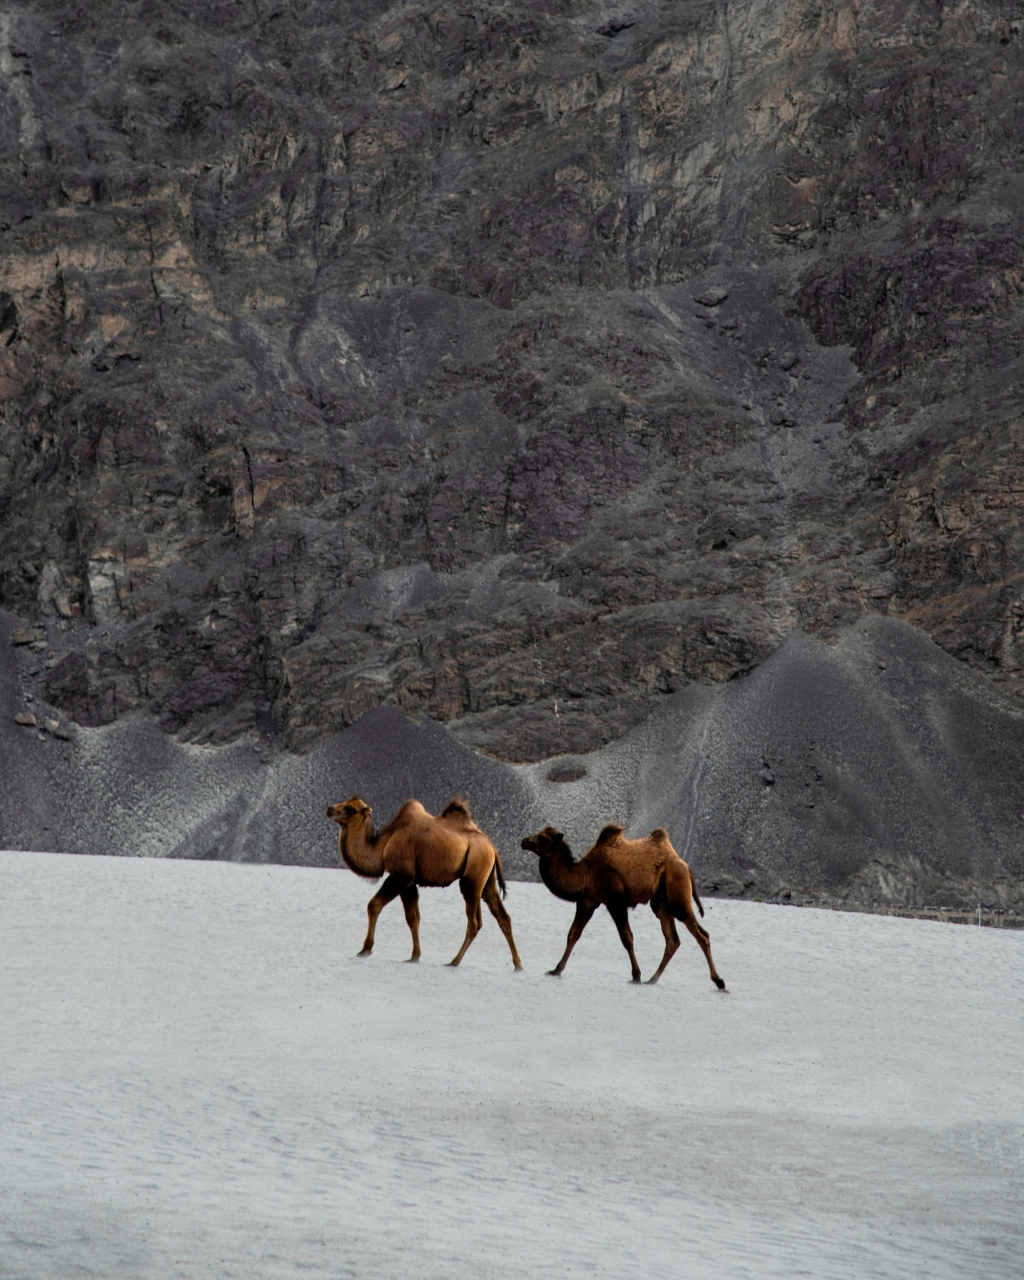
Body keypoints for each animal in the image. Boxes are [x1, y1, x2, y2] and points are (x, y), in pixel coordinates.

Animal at [326, 788, 524, 967]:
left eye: (349, 808)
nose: (329, 809)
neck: (383, 844)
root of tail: (492, 848)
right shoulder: (409, 882)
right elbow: (413, 917)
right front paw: (414, 956)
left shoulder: (401, 875)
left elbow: (374, 905)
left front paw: (365, 950)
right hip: (487, 880)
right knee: (502, 916)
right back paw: (518, 964)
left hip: (473, 877)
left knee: (475, 922)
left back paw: (454, 961)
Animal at [519, 819, 727, 988]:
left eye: (542, 837)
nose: (524, 841)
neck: (585, 873)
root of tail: (685, 866)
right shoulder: (587, 900)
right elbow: (573, 933)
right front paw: (555, 970)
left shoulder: (614, 901)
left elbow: (626, 938)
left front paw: (635, 976)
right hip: (661, 901)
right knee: (672, 939)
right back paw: (652, 979)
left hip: (677, 893)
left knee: (701, 934)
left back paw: (719, 981)